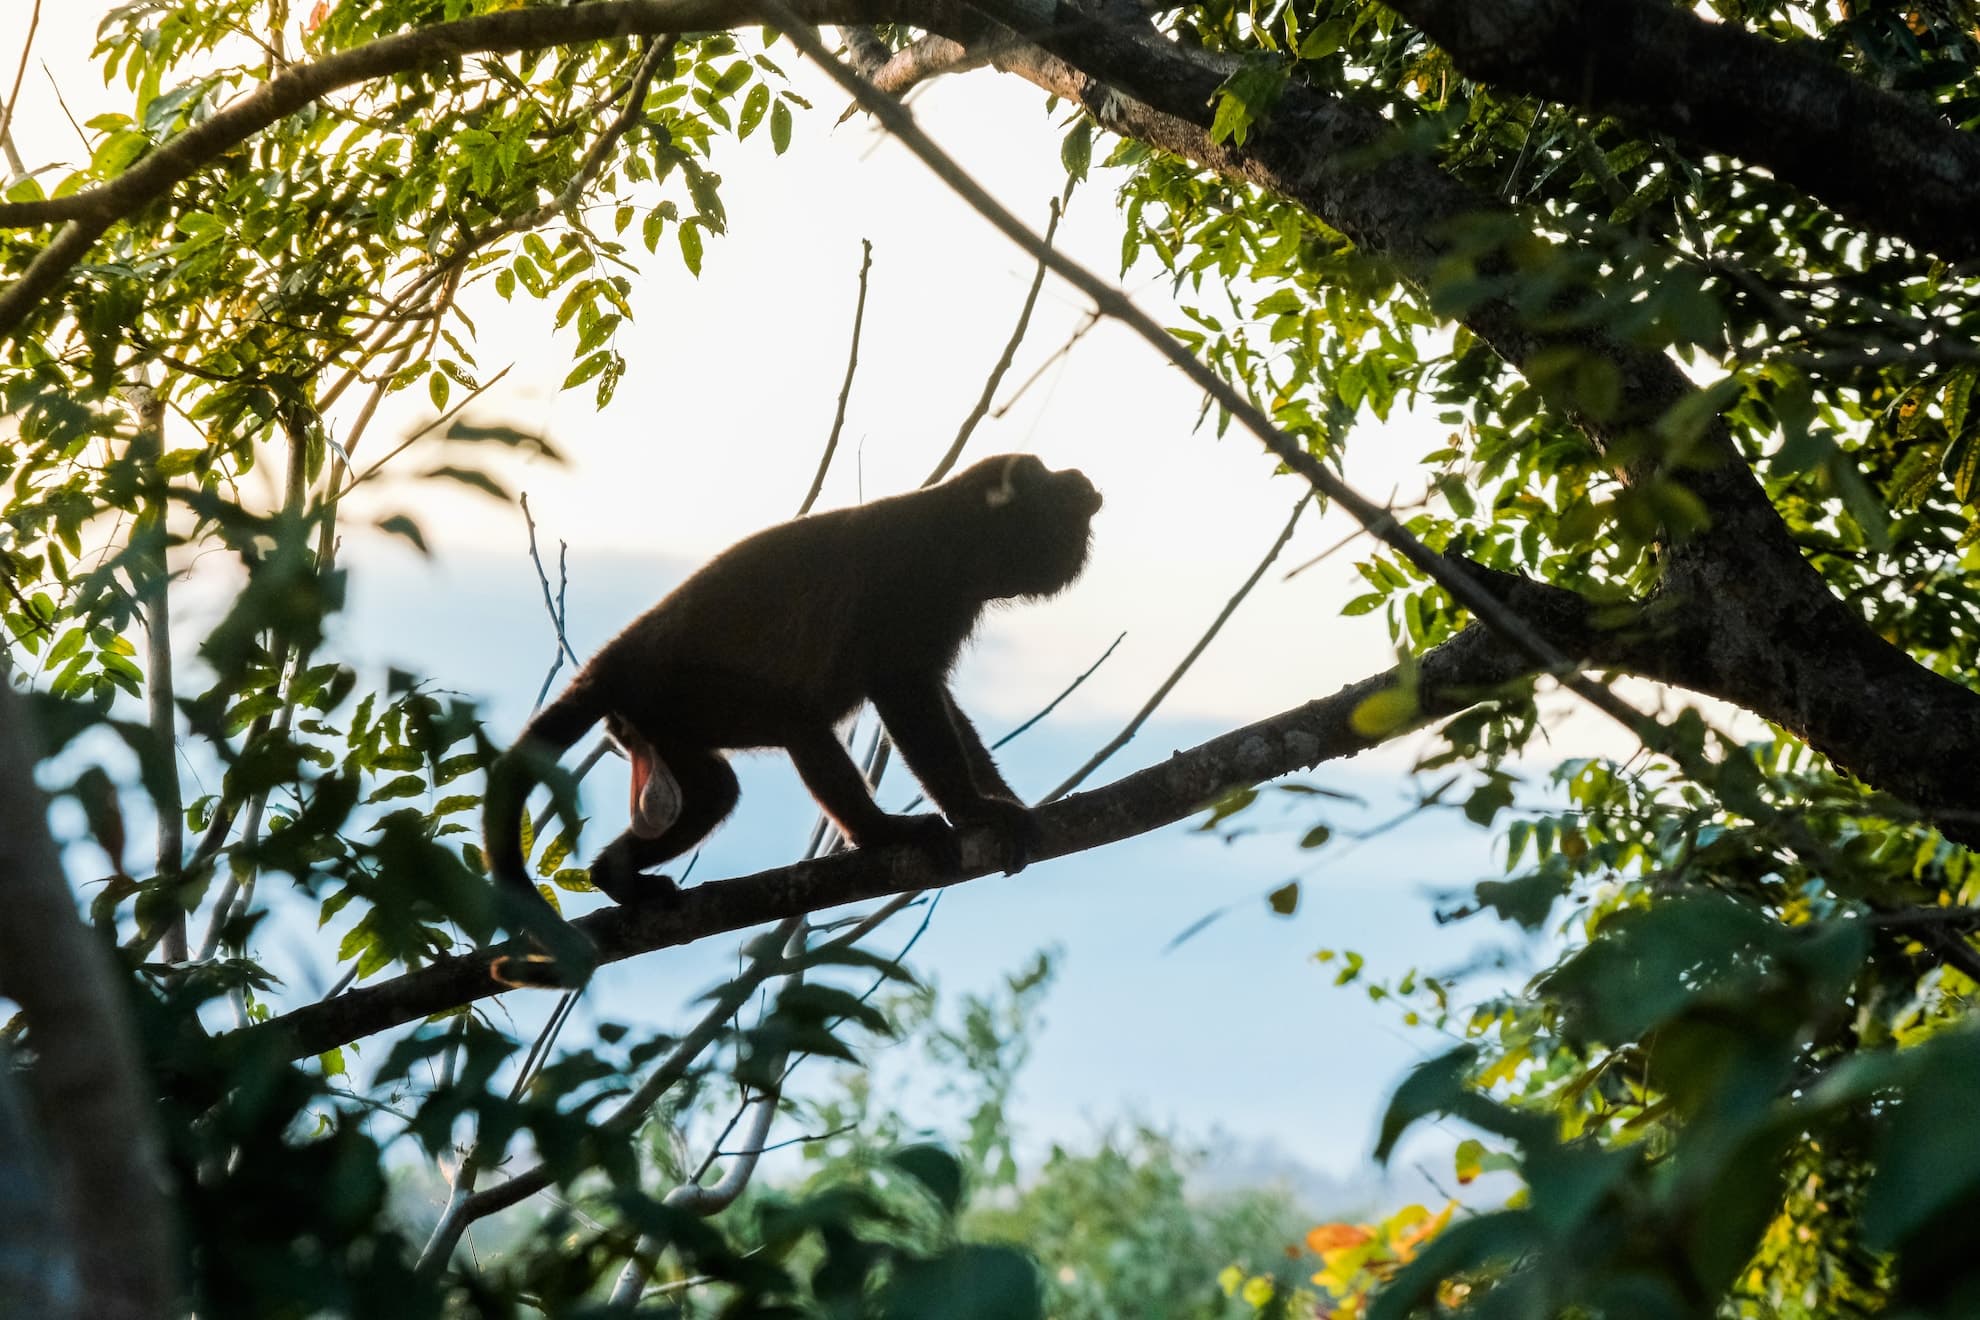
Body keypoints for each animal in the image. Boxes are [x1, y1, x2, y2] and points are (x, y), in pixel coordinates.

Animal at [483, 453, 1103, 985]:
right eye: (1045, 476)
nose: (1080, 479)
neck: (963, 537)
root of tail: (612, 661)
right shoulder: (915, 583)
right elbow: (906, 694)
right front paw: (976, 810)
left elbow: (945, 706)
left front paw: (1005, 800)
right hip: (680, 691)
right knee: (798, 723)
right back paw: (880, 833)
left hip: (654, 723)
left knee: (715, 792)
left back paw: (614, 875)